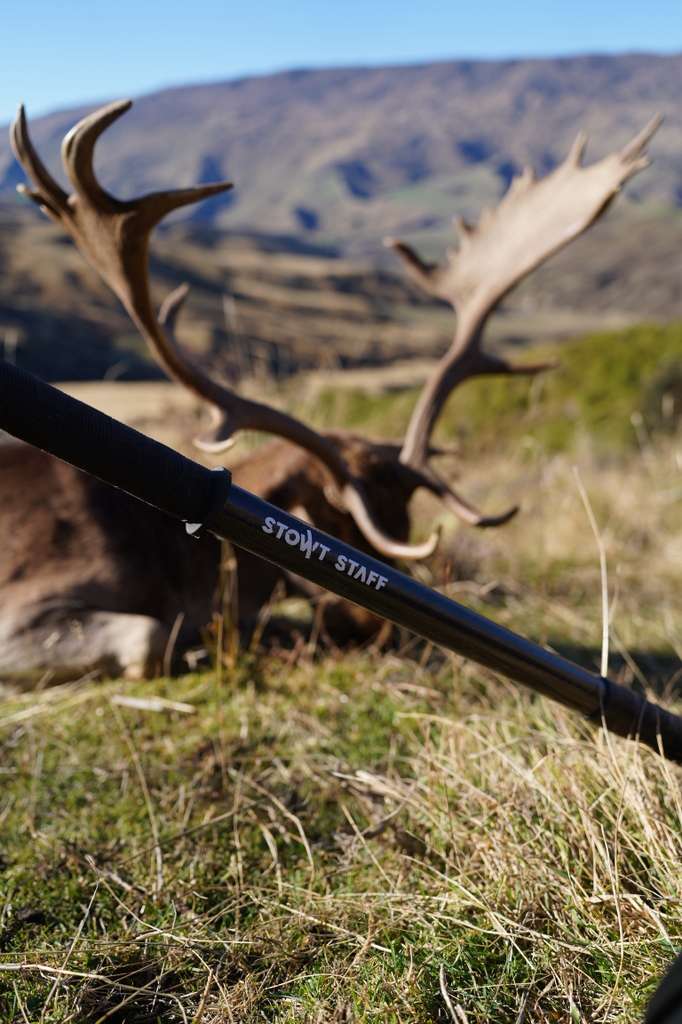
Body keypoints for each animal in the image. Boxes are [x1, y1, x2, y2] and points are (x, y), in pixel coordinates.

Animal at [0, 100, 660, 682]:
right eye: (335, 520)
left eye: (409, 519)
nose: (378, 630)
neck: (174, 559)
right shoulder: (27, 608)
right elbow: (149, 635)